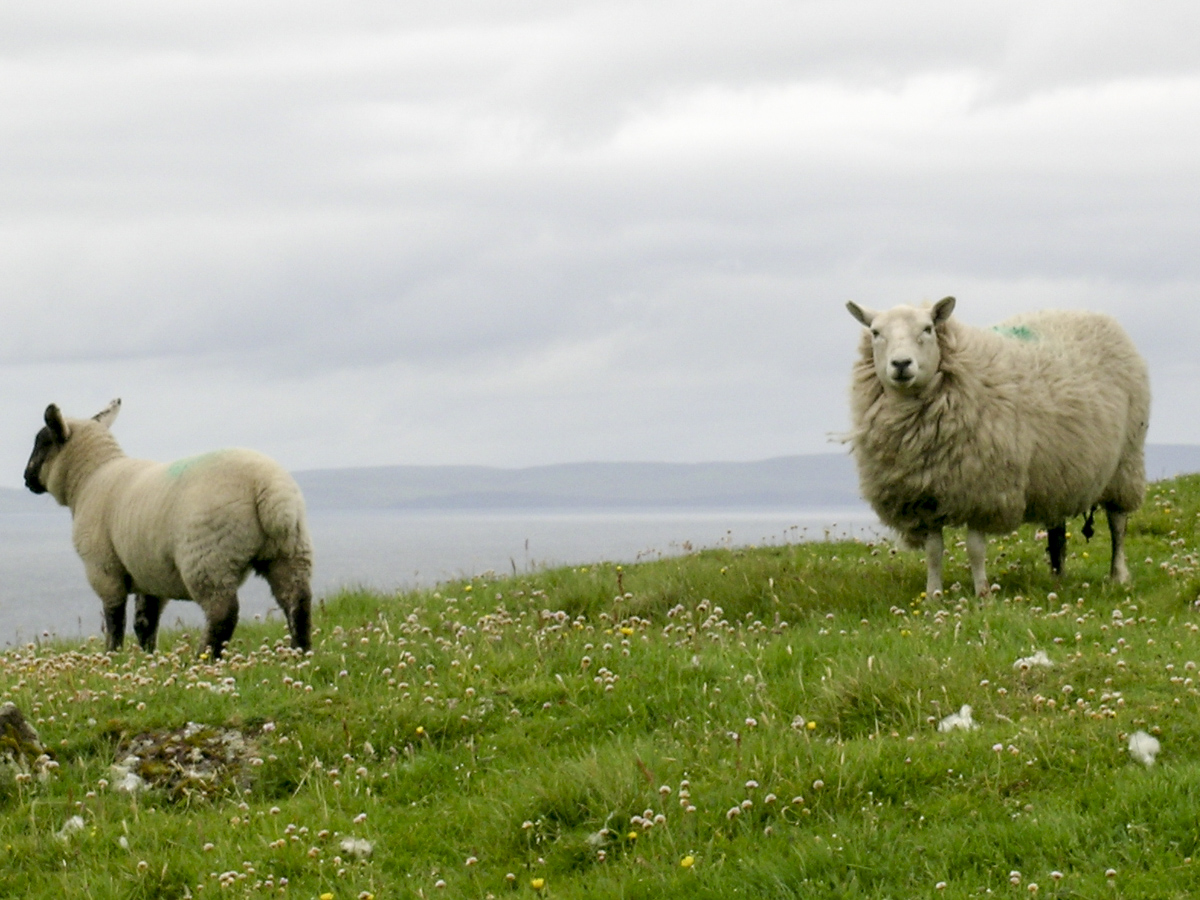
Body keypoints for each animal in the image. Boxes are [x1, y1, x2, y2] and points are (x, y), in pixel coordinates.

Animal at [23, 399, 312, 658]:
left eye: (42, 442)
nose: (26, 479)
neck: (90, 477)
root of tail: (268, 486)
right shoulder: (148, 571)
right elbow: (144, 622)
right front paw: (148, 657)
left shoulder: (103, 569)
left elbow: (115, 620)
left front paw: (111, 656)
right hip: (289, 550)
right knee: (297, 601)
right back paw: (301, 652)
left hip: (208, 559)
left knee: (223, 613)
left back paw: (205, 658)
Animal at [846, 296, 1149, 598]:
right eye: (875, 332)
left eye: (928, 329)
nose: (901, 364)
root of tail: (1087, 313)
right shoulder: (923, 497)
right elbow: (933, 551)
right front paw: (933, 595)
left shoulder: (984, 491)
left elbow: (975, 549)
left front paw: (983, 595)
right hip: (1057, 472)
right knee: (1057, 529)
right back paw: (1057, 577)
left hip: (1125, 462)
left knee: (1117, 524)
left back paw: (1118, 575)